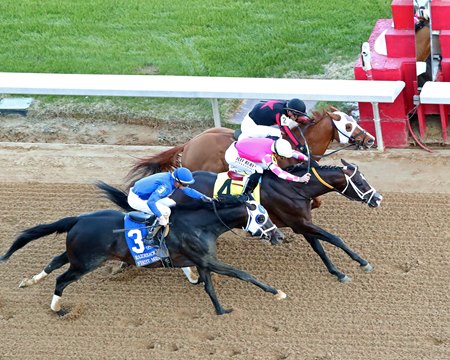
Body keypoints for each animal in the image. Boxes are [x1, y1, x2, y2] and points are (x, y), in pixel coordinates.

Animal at [0, 195, 284, 316]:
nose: (279, 236)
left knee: (55, 261)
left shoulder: (202, 261)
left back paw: (29, 281)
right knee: (62, 280)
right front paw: (278, 292)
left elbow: (209, 289)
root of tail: (78, 219)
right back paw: (58, 309)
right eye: (261, 217)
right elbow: (242, 274)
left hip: (78, 256)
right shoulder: (208, 260)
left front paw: (221, 311)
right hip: (86, 263)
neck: (200, 224)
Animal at [98, 161, 384, 284]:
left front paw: (338, 272)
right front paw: (363, 263)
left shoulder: (301, 223)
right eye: (360, 182)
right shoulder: (299, 223)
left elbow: (320, 248)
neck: (294, 188)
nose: (378, 198)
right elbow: (334, 238)